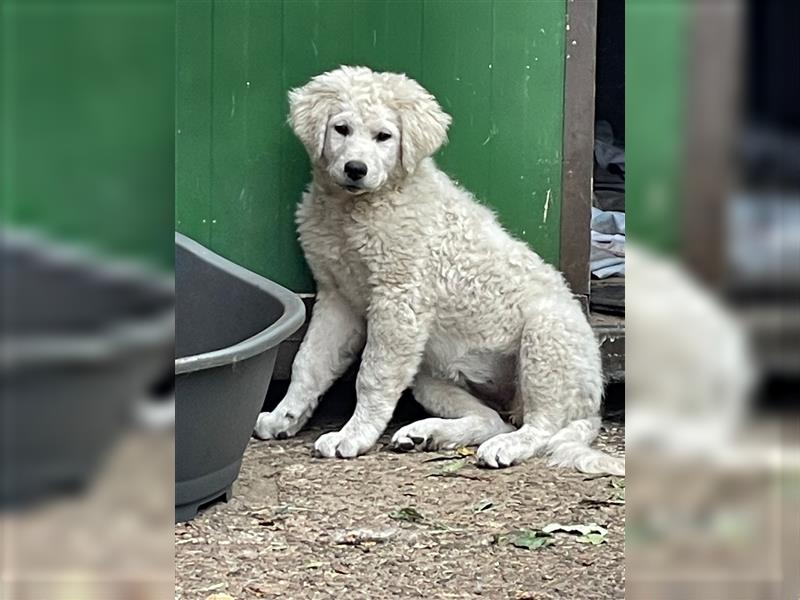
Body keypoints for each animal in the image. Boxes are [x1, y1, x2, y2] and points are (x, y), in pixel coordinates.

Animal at [256, 67, 624, 478]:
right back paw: (426, 434)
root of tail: (592, 404)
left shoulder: (399, 301)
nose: (355, 169)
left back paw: (507, 446)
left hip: (546, 337)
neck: (354, 211)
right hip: (431, 376)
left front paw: (353, 435)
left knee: (543, 426)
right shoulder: (337, 298)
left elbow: (372, 376)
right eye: (341, 129)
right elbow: (308, 362)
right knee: (492, 419)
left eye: (384, 137)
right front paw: (284, 416)